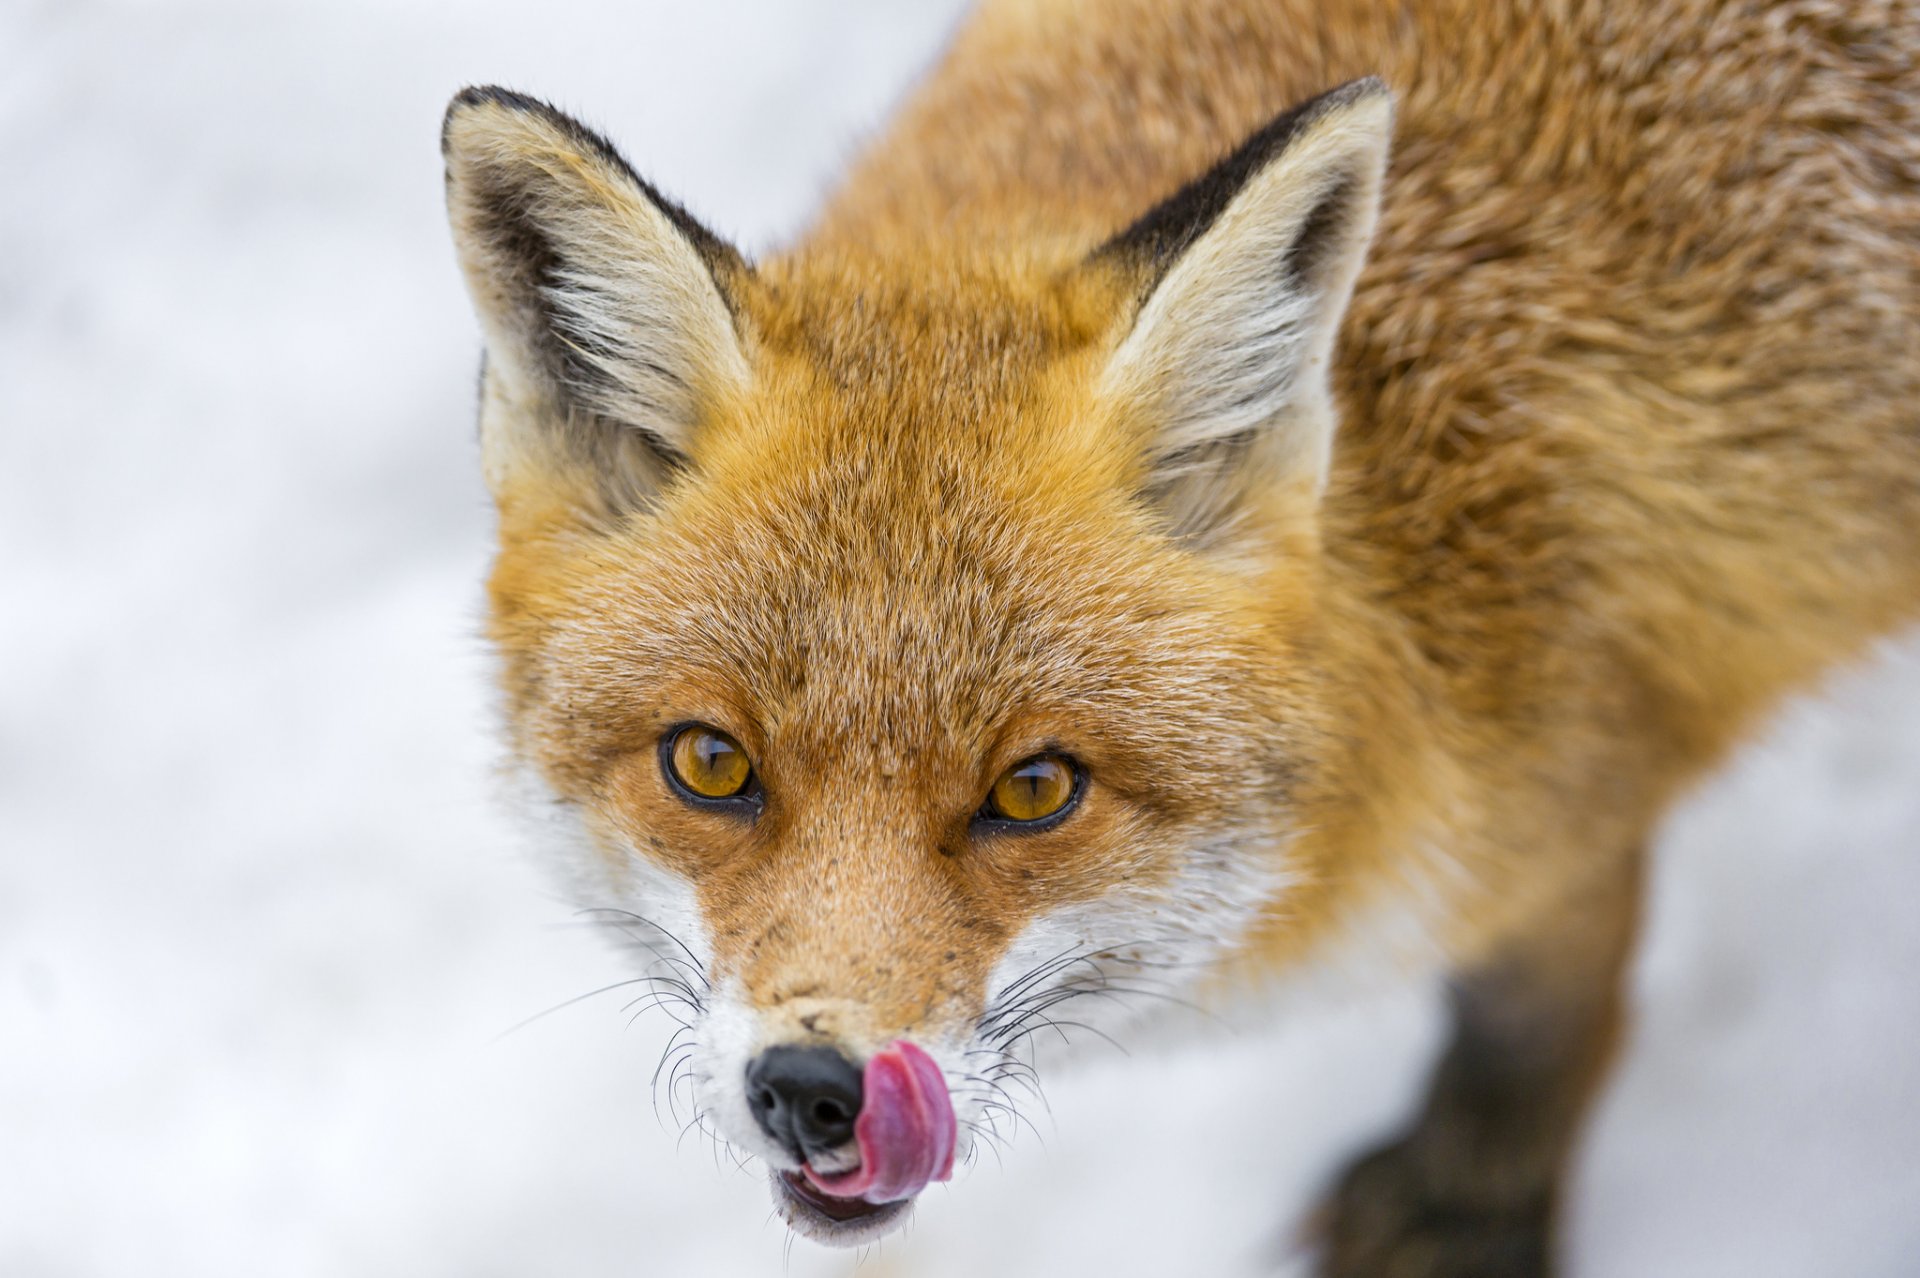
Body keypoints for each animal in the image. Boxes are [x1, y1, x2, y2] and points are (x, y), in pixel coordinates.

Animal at [439, 0, 1920, 1271]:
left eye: (1037, 789)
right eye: (710, 764)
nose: (813, 1090)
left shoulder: (1574, 780)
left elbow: (1540, 1008)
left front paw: (1468, 1206)